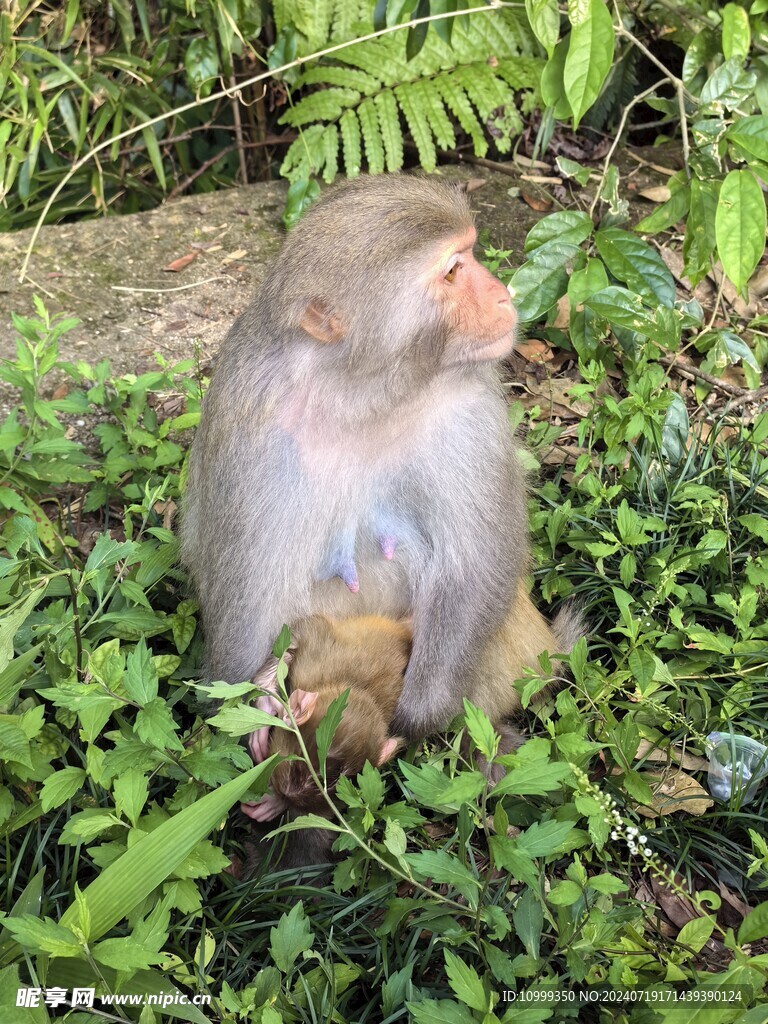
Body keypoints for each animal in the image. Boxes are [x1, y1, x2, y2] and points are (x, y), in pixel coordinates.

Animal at [181, 174, 528, 753]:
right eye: (452, 270)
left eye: (471, 253)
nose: (505, 294)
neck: (360, 393)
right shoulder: (248, 424)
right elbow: (247, 602)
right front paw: (264, 691)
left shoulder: (469, 409)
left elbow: (472, 568)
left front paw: (416, 715)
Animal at [241, 593, 577, 823]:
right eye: (296, 765)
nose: (285, 796)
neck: (354, 691)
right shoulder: (316, 657)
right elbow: (302, 631)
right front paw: (267, 707)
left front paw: (275, 801)